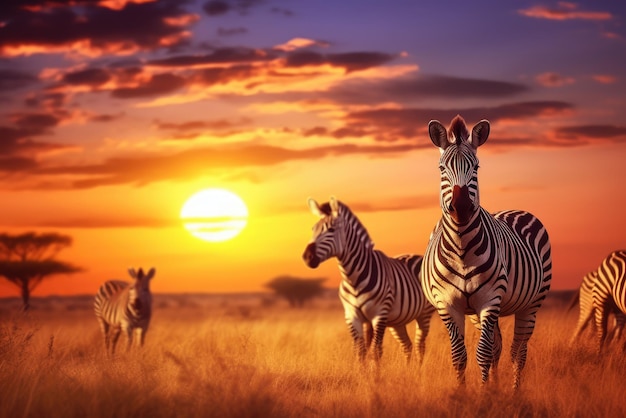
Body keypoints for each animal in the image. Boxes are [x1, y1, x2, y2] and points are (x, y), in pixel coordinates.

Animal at [302, 196, 434, 362]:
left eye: (331, 230)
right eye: (313, 229)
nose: (307, 257)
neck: (353, 278)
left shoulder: (379, 315)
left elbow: (375, 352)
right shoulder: (352, 317)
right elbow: (360, 352)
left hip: (424, 314)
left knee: (419, 347)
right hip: (397, 321)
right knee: (408, 346)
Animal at [420, 115, 552, 388]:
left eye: (476, 167)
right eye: (441, 168)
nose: (461, 207)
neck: (461, 250)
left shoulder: (490, 299)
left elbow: (482, 353)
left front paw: (483, 393)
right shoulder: (447, 304)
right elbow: (460, 355)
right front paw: (467, 393)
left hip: (531, 304)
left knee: (518, 351)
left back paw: (514, 391)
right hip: (478, 314)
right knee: (498, 346)